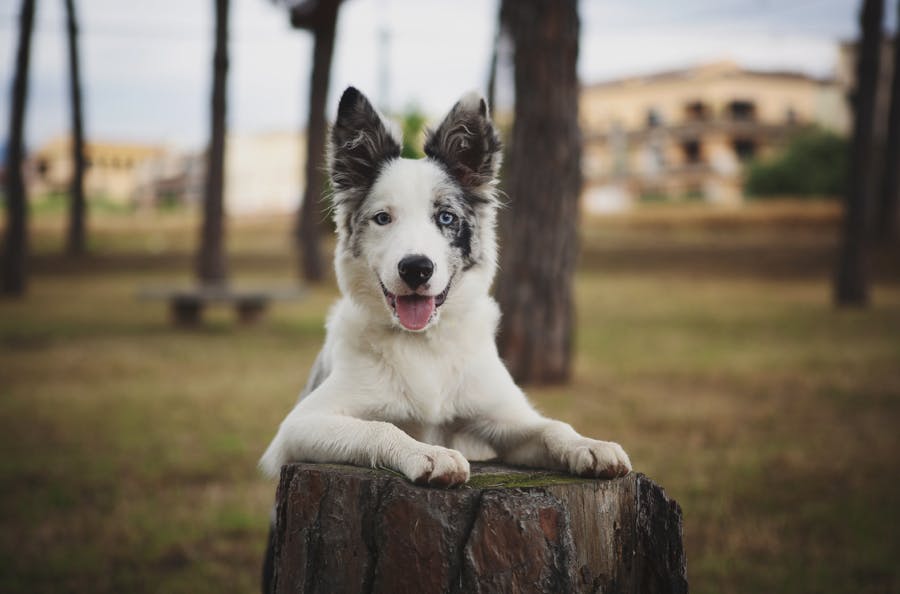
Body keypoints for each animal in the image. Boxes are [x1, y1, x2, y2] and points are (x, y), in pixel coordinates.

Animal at [256, 85, 628, 488]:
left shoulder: (504, 418)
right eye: (383, 218)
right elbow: (382, 428)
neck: (423, 345)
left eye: (446, 217)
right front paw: (429, 453)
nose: (416, 269)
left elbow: (552, 427)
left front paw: (590, 445)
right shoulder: (299, 425)